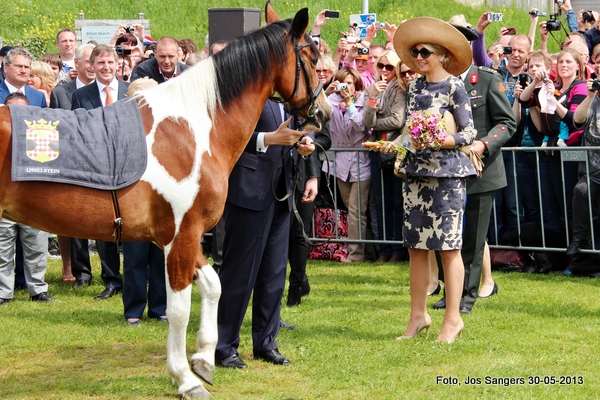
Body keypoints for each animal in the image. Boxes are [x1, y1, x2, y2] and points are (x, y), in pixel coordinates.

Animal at [0, 3, 331, 399]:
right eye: (311, 58)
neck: (190, 128)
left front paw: (204, 360)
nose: (324, 113)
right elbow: (179, 310)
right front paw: (186, 378)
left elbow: (214, 286)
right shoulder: (180, 236)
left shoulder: (186, 235)